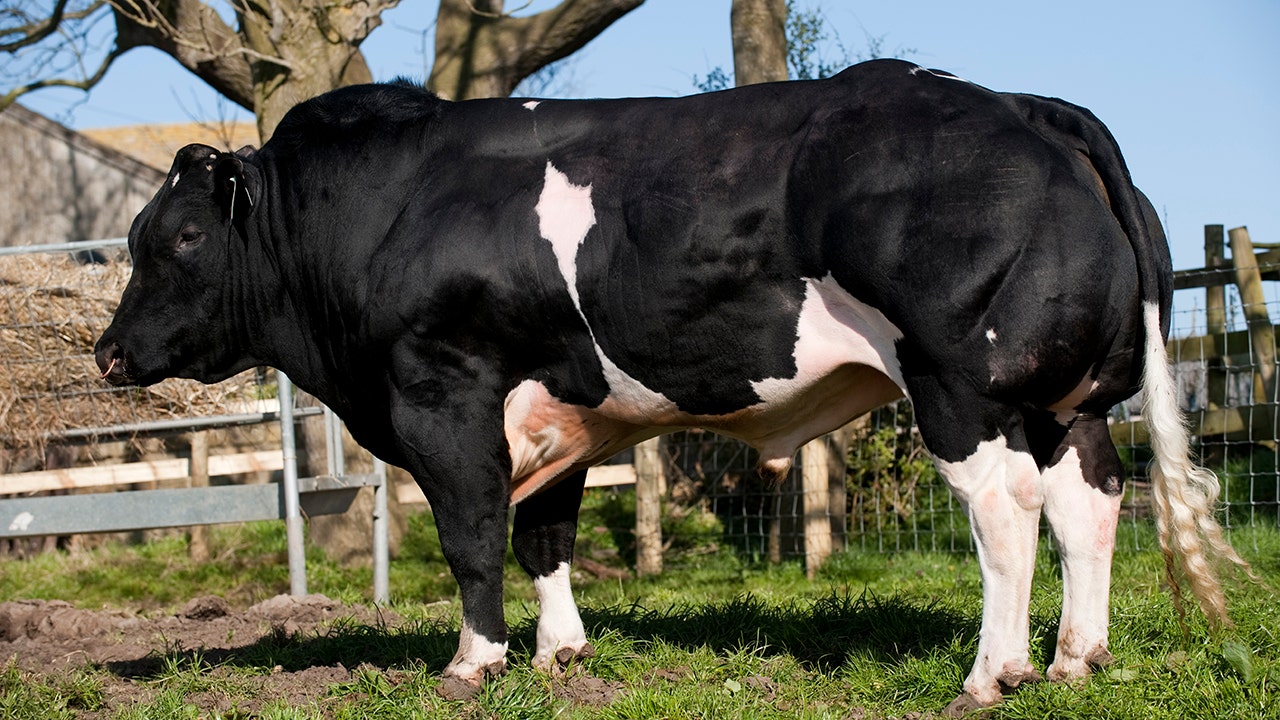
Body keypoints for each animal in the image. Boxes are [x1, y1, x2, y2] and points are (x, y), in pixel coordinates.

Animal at [94, 58, 1244, 707]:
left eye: (182, 237)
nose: (107, 353)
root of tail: (1019, 104)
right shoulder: (555, 408)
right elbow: (544, 533)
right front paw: (560, 655)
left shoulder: (444, 393)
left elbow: (470, 535)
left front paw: (474, 663)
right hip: (1069, 400)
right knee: (1088, 501)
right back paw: (1074, 658)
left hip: (964, 386)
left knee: (1004, 510)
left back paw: (990, 674)